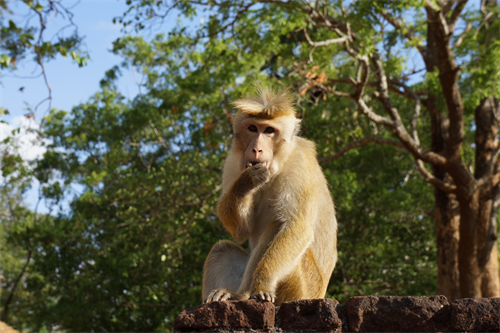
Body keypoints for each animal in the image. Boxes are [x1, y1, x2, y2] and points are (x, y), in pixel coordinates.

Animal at [201, 84, 338, 304]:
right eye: (252, 128)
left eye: (269, 131)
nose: (256, 149)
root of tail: (320, 293)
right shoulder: (233, 161)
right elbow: (242, 230)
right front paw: (245, 182)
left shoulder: (300, 166)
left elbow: (297, 227)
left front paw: (263, 283)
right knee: (221, 250)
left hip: (302, 288)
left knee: (277, 225)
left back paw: (244, 294)